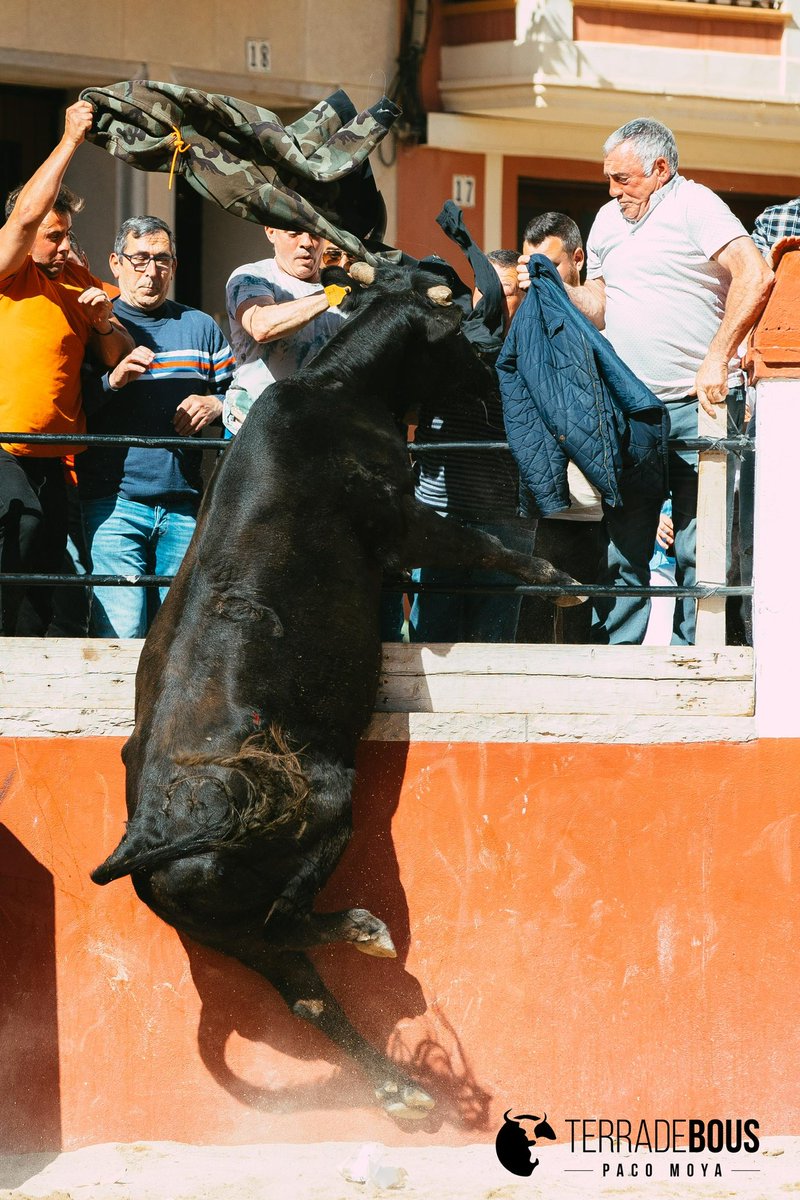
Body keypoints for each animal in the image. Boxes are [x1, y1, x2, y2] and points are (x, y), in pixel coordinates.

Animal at [92, 258, 582, 1118]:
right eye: (465, 337)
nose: (492, 374)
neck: (337, 389)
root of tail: (146, 835)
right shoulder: (400, 518)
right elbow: (485, 546)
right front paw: (565, 586)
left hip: (231, 929)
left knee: (305, 989)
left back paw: (399, 1089)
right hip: (324, 802)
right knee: (292, 919)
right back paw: (366, 931)